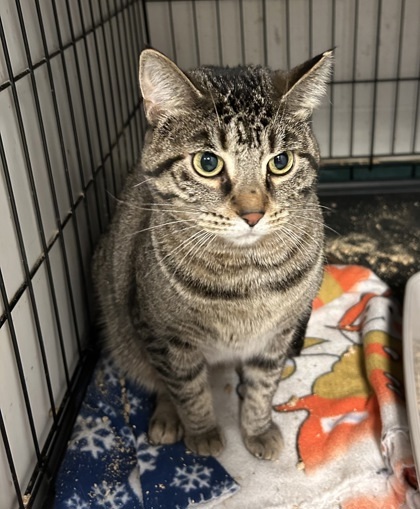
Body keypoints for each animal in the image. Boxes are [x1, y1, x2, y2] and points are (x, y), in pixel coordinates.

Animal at [92, 47, 334, 458]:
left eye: (280, 162)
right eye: (208, 163)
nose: (252, 214)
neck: (245, 275)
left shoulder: (277, 336)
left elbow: (262, 385)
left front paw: (257, 428)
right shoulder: (164, 336)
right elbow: (186, 388)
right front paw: (202, 432)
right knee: (158, 381)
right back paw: (167, 418)